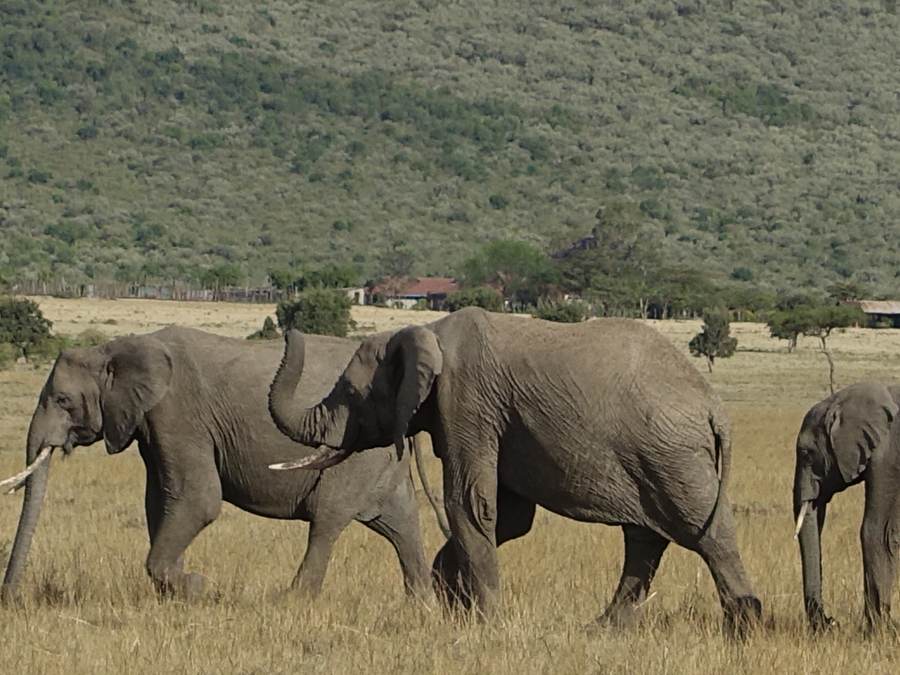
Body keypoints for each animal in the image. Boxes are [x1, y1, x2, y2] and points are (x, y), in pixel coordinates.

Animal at [1, 326, 431, 601]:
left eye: (62, 401)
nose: (11, 601)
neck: (116, 348)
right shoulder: (151, 425)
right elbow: (161, 502)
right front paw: (178, 592)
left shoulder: (176, 413)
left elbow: (198, 501)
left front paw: (199, 588)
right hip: (380, 461)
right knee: (402, 525)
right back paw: (421, 606)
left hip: (355, 456)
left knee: (326, 520)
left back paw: (291, 601)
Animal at [267, 307, 762, 633]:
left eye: (351, 393)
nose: (291, 331)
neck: (425, 331)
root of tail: (715, 407)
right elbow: (508, 518)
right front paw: (452, 604)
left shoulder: (467, 400)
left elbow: (471, 504)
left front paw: (481, 621)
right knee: (646, 538)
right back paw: (602, 629)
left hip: (672, 456)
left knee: (706, 534)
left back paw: (745, 627)